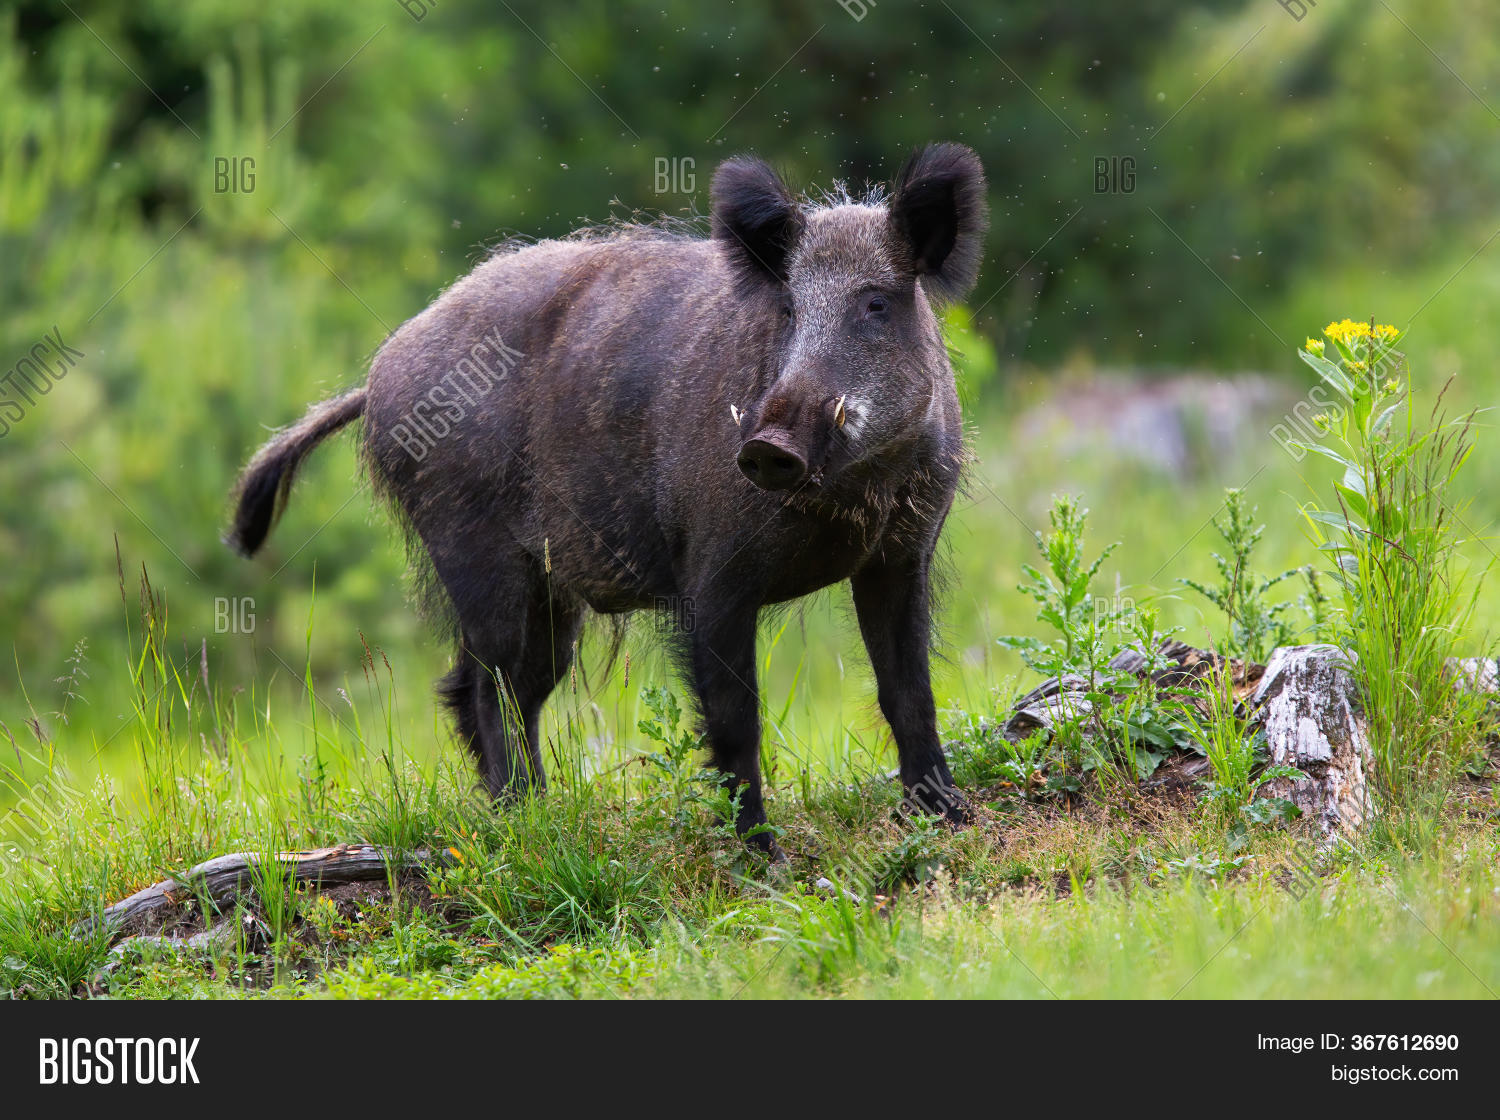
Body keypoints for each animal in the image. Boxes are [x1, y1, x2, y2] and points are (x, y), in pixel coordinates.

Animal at [227, 143, 988, 856]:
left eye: (876, 303)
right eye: (791, 308)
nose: (767, 444)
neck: (852, 495)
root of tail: (378, 374)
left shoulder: (903, 554)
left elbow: (909, 689)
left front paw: (950, 818)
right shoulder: (709, 571)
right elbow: (735, 718)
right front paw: (762, 856)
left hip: (549, 593)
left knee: (492, 685)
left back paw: (532, 811)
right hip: (471, 548)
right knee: (490, 685)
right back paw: (526, 821)